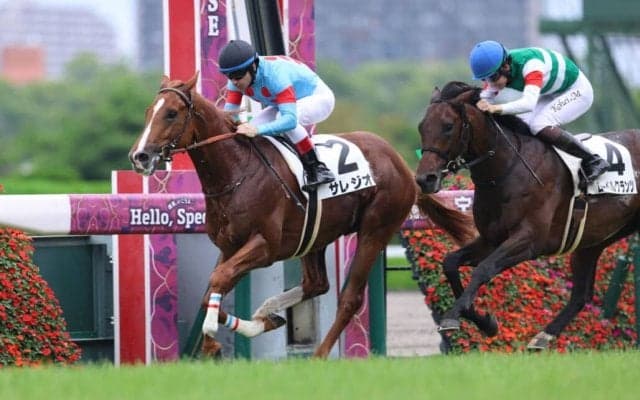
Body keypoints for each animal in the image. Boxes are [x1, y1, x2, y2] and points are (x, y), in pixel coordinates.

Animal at [128, 72, 476, 358]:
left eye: (171, 113)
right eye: (148, 112)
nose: (140, 156)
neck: (236, 171)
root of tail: (401, 164)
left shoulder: (264, 246)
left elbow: (218, 279)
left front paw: (214, 335)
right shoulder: (230, 246)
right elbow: (214, 286)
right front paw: (238, 332)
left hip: (375, 229)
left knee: (349, 297)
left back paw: (319, 354)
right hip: (316, 237)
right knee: (316, 284)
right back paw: (268, 314)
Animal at [415, 81, 640, 350]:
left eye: (448, 126)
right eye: (421, 127)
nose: (424, 179)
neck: (506, 171)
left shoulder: (529, 240)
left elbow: (483, 269)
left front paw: (453, 317)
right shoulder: (491, 239)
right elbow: (450, 263)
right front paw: (486, 323)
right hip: (593, 240)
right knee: (581, 295)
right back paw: (543, 336)